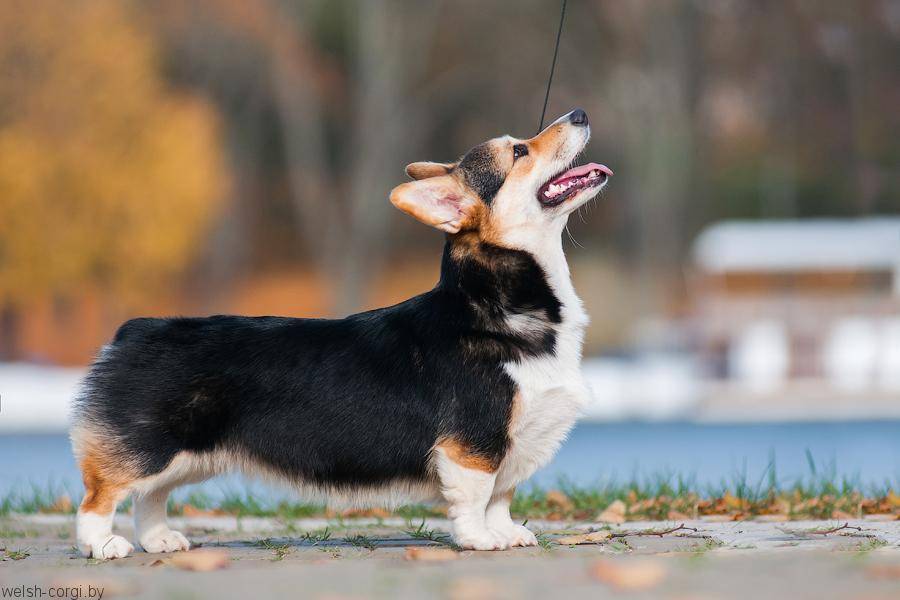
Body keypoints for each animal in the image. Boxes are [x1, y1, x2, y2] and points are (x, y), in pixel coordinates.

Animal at [72, 108, 612, 556]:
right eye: (519, 151)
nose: (580, 113)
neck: (498, 303)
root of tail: (135, 330)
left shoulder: (514, 442)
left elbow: (502, 496)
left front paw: (508, 533)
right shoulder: (476, 442)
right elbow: (478, 496)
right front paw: (480, 539)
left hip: (187, 455)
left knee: (150, 497)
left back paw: (159, 540)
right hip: (149, 448)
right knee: (100, 496)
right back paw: (104, 546)